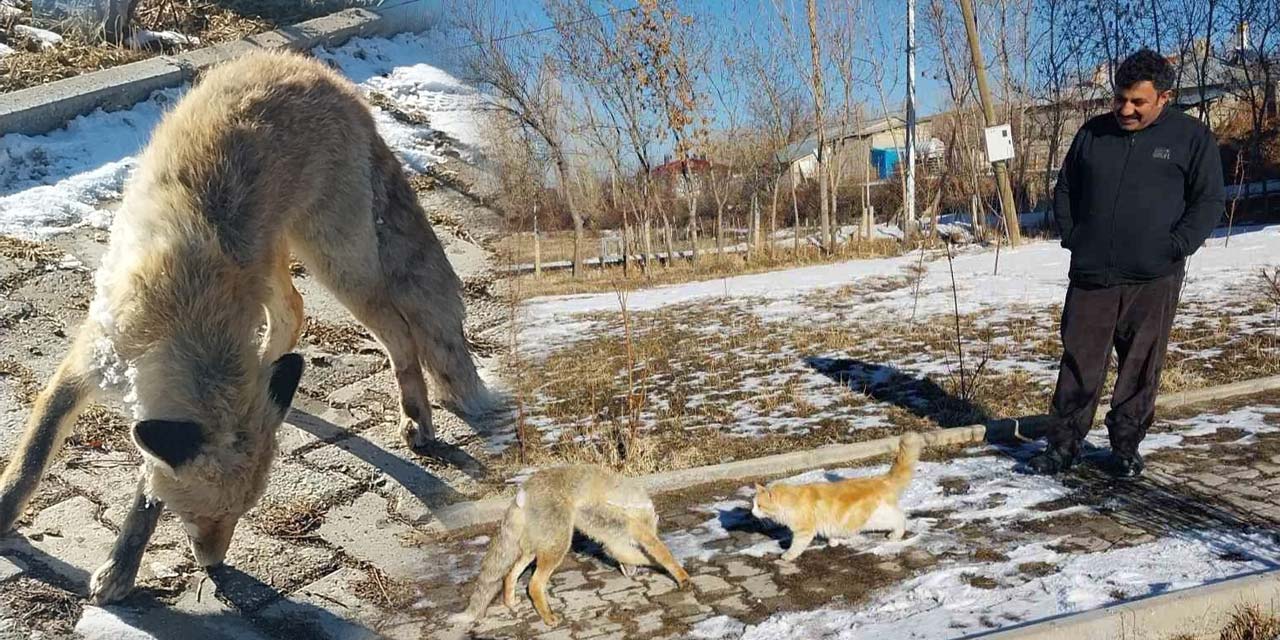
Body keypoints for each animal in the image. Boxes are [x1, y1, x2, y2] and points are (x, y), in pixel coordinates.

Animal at [0, 51, 496, 604]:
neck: (182, 307)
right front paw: (6, 513)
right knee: (297, 311)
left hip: (334, 264)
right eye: (200, 515)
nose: (213, 566)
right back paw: (271, 372)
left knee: (398, 331)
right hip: (278, 262)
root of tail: (323, 74)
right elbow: (32, 455)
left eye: (236, 515)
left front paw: (121, 566)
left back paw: (415, 416)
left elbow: (143, 493)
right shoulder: (89, 358)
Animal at [450, 463, 691, 627]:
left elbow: (632, 555)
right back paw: (548, 617)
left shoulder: (611, 541)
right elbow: (662, 554)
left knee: (510, 574)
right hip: (558, 545)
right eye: (637, 543)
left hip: (533, 548)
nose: (632, 574)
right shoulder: (629, 531)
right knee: (534, 585)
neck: (630, 502)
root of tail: (523, 492)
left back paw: (511, 602)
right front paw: (680, 576)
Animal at [747, 430, 921, 560]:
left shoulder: (804, 531)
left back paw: (896, 534)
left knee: (900, 518)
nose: (752, 512)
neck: (791, 500)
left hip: (877, 518)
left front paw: (787, 556)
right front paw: (833, 541)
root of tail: (881, 479)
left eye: (759, 505)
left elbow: (796, 546)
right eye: (753, 505)